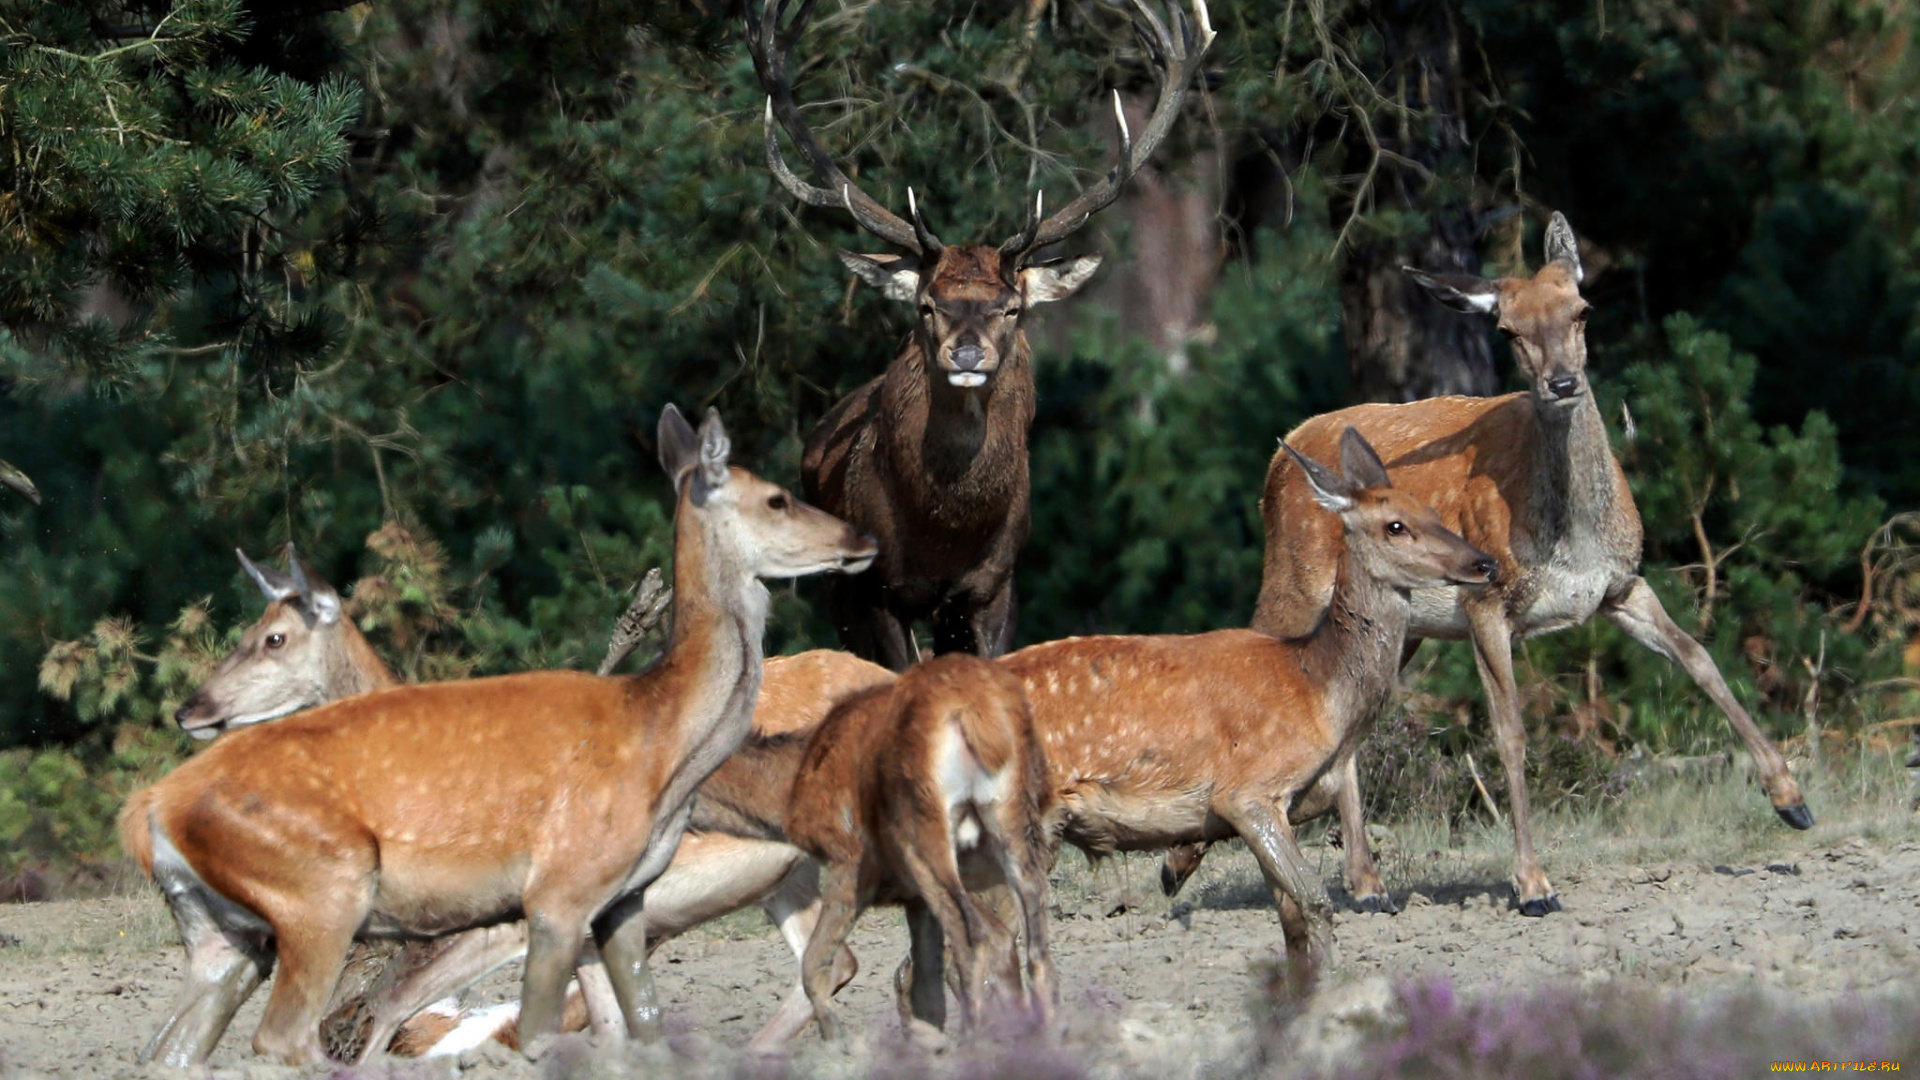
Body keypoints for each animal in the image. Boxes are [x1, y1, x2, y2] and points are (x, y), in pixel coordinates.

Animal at [748, 0, 1213, 668]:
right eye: (925, 305)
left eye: (1011, 307)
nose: (966, 352)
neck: (947, 531)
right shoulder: (878, 591)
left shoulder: (996, 587)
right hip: (839, 592)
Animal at [783, 645, 1059, 1037]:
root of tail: (974, 710)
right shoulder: (913, 897)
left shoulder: (848, 861)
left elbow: (814, 963)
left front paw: (839, 1040)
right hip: (1013, 822)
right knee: (1036, 943)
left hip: (920, 832)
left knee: (972, 937)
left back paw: (971, 1039)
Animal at [1167, 212, 1812, 914]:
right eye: (1507, 329)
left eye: (1582, 310)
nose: (1562, 383)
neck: (1568, 537)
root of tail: (1278, 459)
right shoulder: (1486, 601)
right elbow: (1510, 733)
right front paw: (1533, 884)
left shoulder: (1621, 584)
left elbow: (1700, 657)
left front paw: (1791, 800)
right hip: (1294, 581)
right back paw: (1182, 861)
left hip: (1401, 626)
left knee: (1350, 719)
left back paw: (1367, 884)